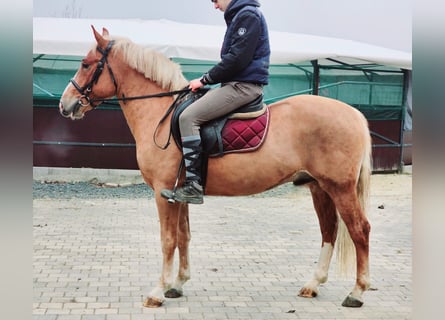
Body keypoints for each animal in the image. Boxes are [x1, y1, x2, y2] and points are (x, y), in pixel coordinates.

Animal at [58, 26, 372, 308]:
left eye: (85, 64)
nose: (65, 104)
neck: (162, 114)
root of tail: (354, 113)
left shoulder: (162, 192)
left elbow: (167, 239)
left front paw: (158, 291)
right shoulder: (178, 194)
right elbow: (183, 237)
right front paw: (177, 284)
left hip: (339, 188)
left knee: (359, 230)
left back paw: (356, 293)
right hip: (318, 187)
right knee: (329, 231)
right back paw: (313, 284)